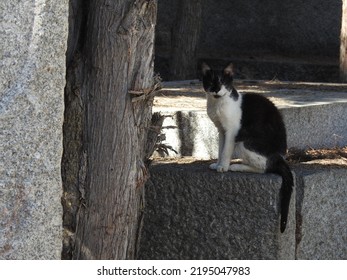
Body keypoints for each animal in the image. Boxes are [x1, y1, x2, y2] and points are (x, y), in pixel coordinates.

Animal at [201, 62, 294, 233]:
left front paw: (223, 167)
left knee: (265, 168)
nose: (216, 89)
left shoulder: (231, 131)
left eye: (222, 82)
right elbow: (220, 149)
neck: (218, 104)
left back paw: (236, 166)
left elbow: (226, 151)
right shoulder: (221, 130)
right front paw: (217, 164)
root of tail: (280, 157)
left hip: (244, 141)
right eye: (211, 82)